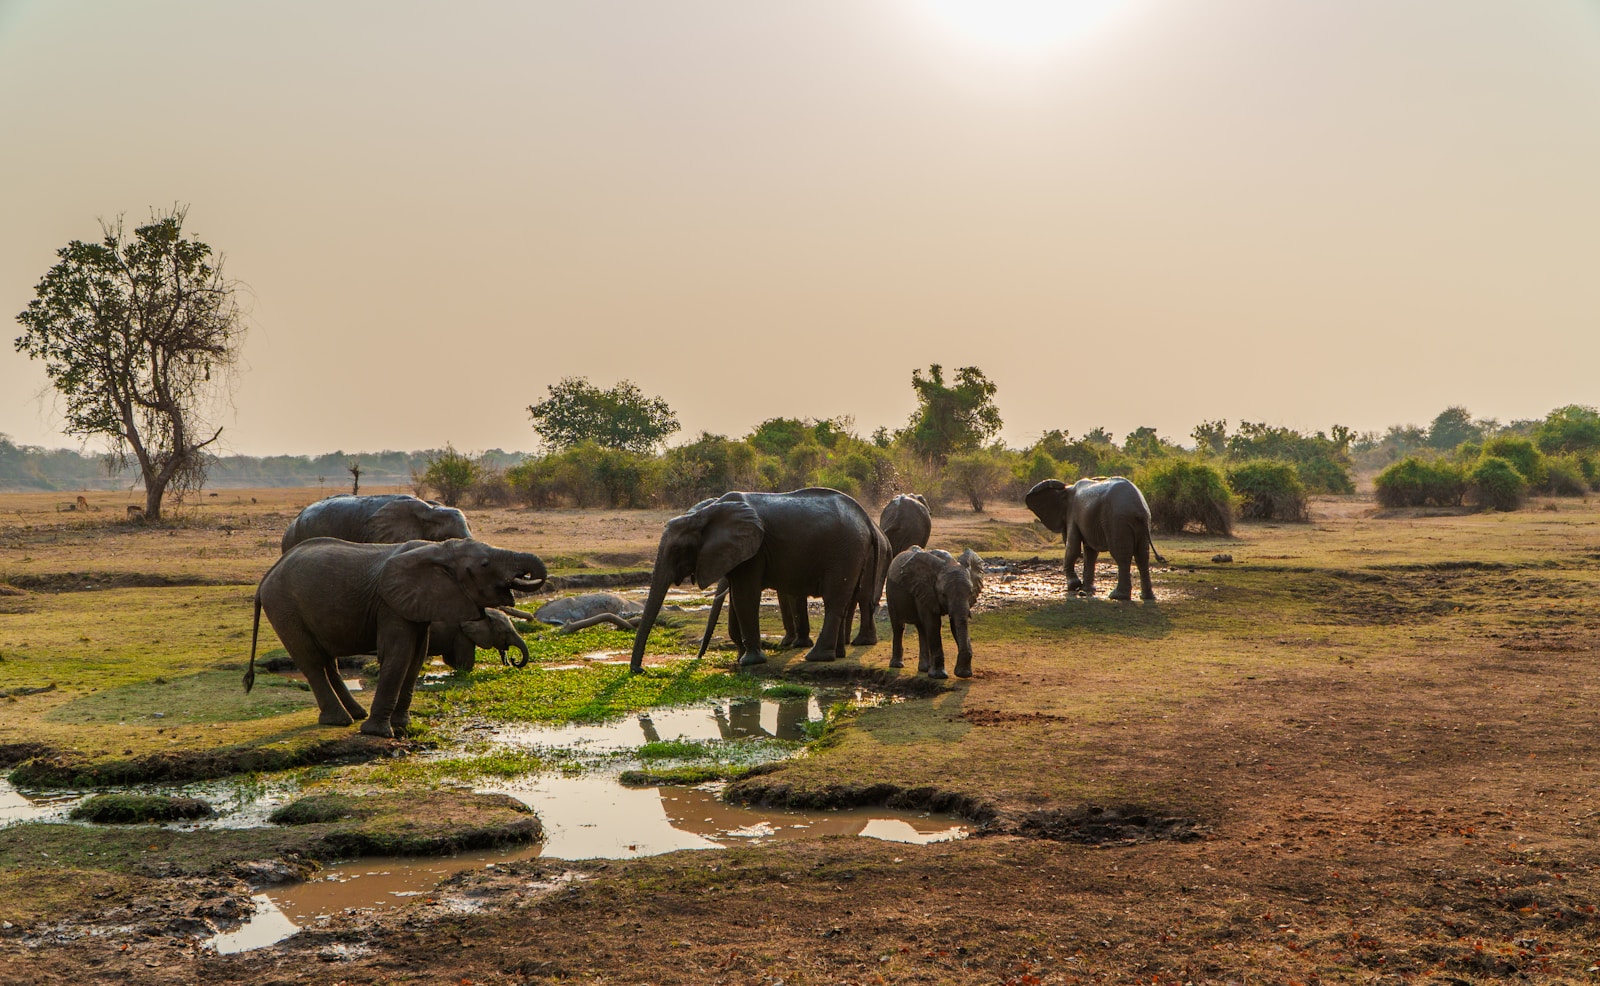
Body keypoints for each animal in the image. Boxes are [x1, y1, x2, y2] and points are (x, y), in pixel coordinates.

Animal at [247, 537, 546, 736]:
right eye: (485, 564)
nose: (512, 661)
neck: (439, 550)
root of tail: (266, 578)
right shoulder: (390, 604)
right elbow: (399, 654)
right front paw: (379, 733)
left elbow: (416, 657)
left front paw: (403, 725)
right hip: (284, 608)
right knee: (311, 661)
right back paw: (341, 721)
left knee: (327, 661)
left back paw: (355, 714)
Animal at [632, 488, 875, 671]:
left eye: (677, 550)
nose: (640, 670)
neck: (704, 513)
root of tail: (866, 519)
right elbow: (737, 597)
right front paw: (741, 656)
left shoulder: (753, 552)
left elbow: (744, 595)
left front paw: (749, 661)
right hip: (853, 553)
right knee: (845, 599)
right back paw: (837, 654)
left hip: (844, 552)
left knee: (834, 600)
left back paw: (816, 657)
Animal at [886, 547, 984, 679]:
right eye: (943, 594)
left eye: (970, 592)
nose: (963, 674)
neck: (949, 561)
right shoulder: (925, 590)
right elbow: (933, 624)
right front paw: (939, 676)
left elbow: (954, 625)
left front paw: (963, 674)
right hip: (890, 592)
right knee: (898, 627)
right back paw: (897, 665)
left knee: (921, 628)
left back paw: (924, 669)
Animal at [1025, 477, 1165, 602]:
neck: (1066, 489)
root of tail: (1139, 509)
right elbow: (1090, 552)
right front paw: (1087, 590)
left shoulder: (1073, 514)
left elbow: (1073, 547)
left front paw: (1074, 585)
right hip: (1142, 524)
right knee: (1142, 556)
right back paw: (1147, 597)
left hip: (1116, 521)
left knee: (1121, 555)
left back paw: (1117, 596)